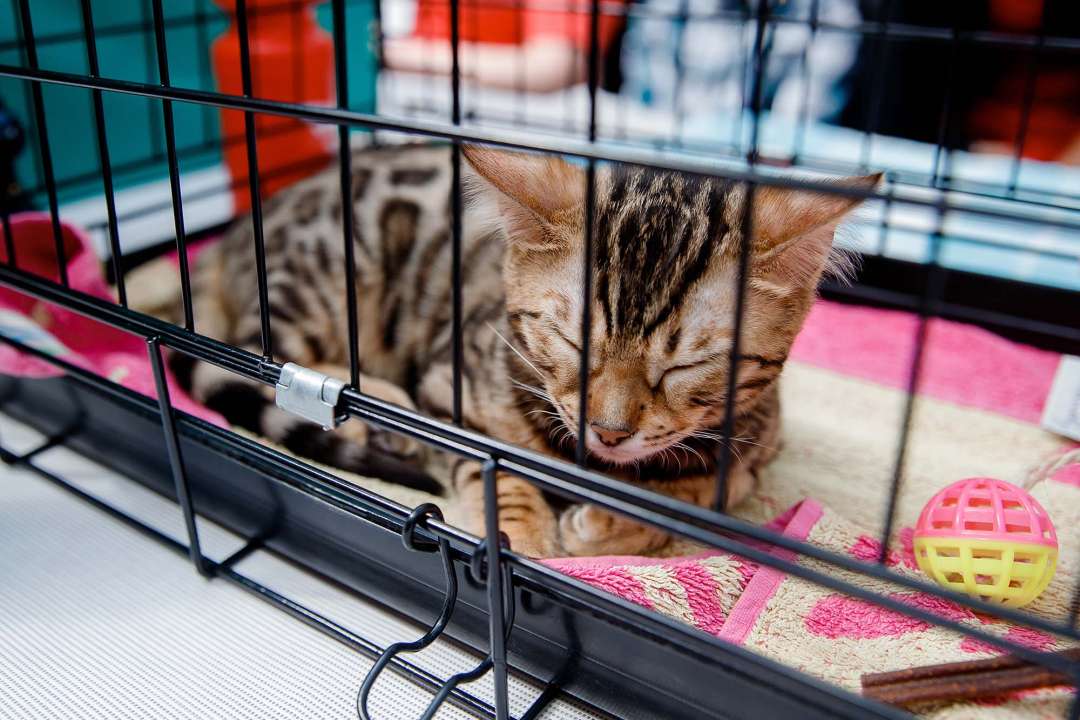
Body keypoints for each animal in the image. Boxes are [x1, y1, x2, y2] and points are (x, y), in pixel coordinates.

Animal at [181, 140, 876, 557]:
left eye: (687, 365)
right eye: (570, 341)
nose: (610, 431)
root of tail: (232, 238)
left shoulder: (758, 445)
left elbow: (705, 495)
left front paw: (615, 522)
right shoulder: (450, 381)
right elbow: (485, 460)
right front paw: (520, 528)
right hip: (324, 283)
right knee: (255, 356)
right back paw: (370, 406)